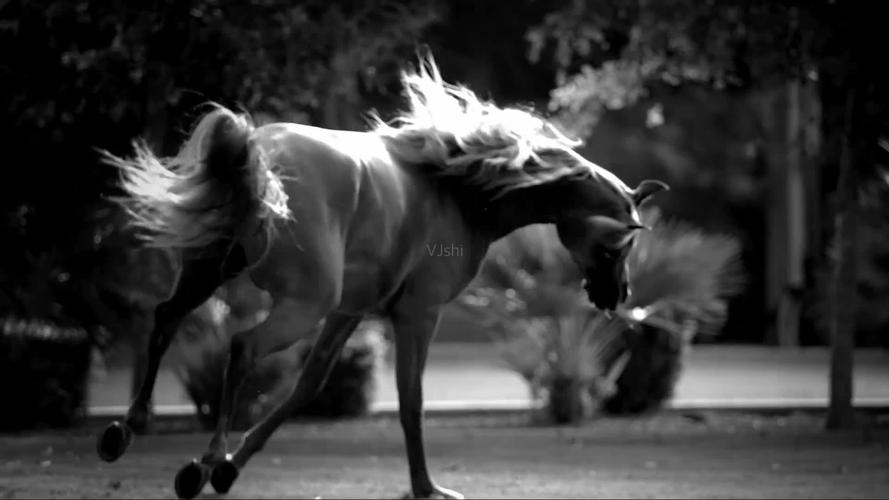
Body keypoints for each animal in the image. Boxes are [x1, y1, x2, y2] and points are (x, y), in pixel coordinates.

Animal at [95, 55, 668, 499]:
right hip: (301, 304)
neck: (458, 188)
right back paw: (204, 458)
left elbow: (307, 387)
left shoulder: (351, 312)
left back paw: (130, 430)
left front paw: (235, 469)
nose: (619, 295)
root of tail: (256, 155)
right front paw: (425, 488)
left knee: (166, 320)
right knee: (241, 347)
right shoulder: (418, 315)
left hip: (214, 272)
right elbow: (411, 401)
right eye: (623, 242)